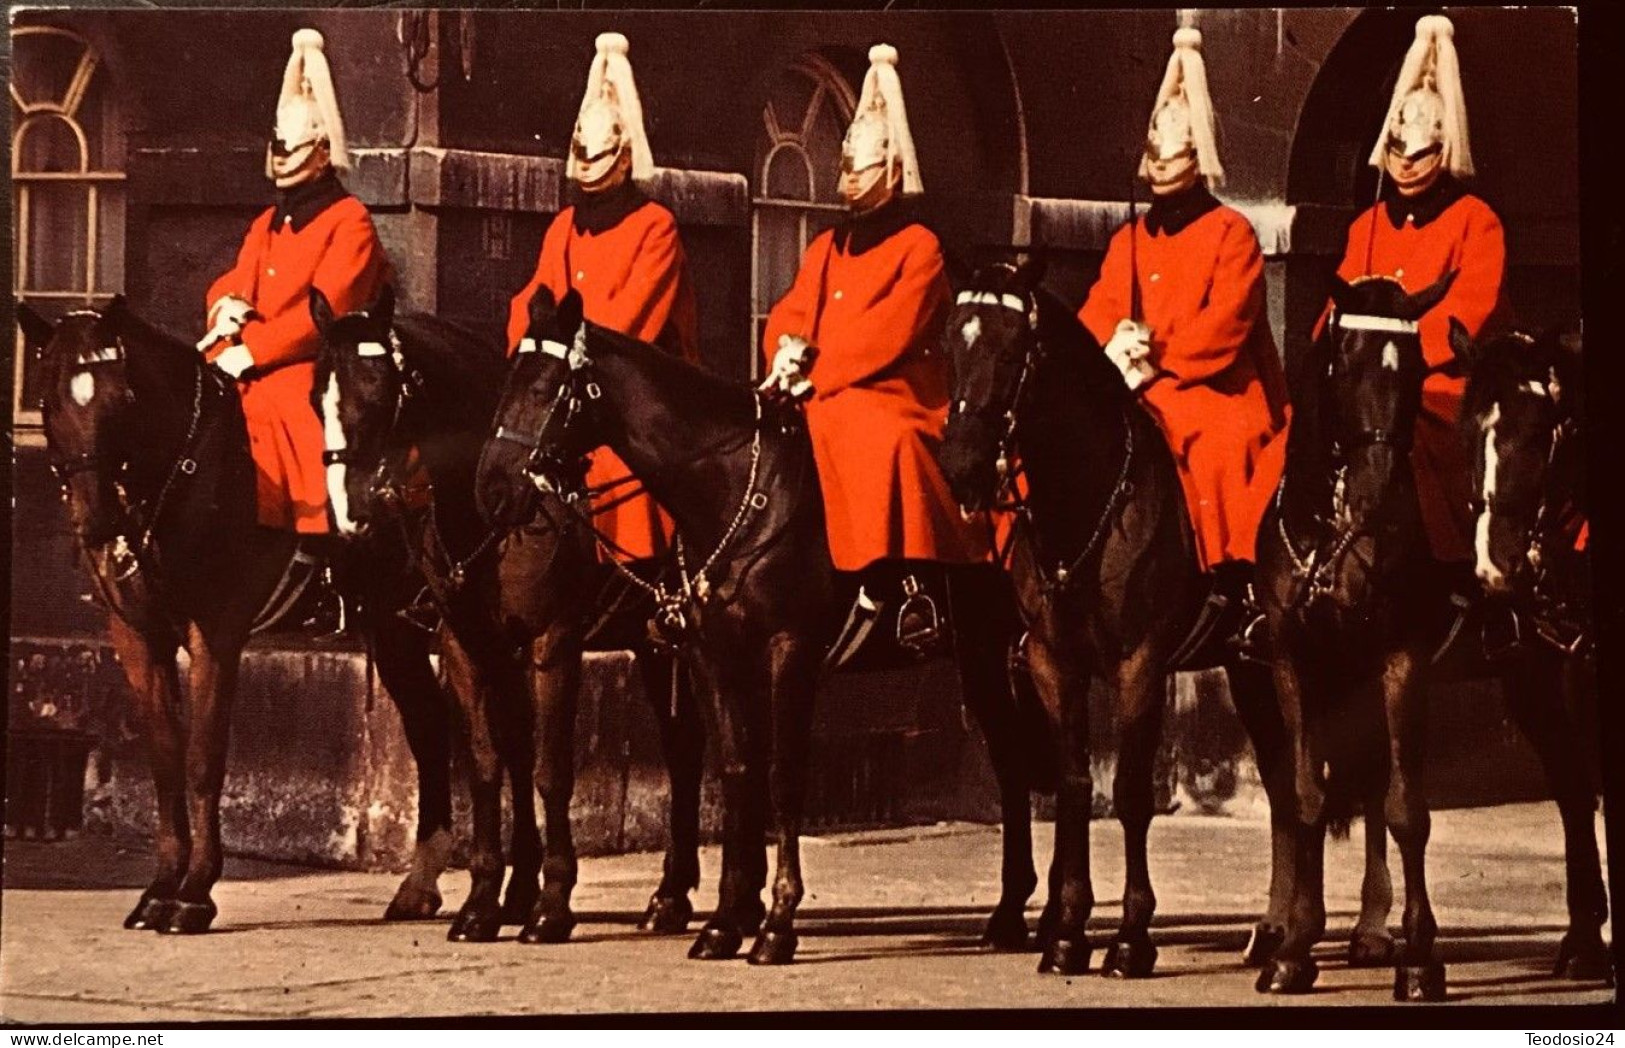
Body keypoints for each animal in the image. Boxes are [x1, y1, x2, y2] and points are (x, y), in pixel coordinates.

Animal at [17, 295, 451, 929]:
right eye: (47, 401)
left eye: (123, 399)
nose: (96, 523)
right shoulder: (137, 637)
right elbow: (166, 759)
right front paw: (159, 889)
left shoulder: (215, 634)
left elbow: (203, 759)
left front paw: (195, 893)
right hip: (396, 628)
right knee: (431, 724)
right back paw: (422, 886)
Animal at [310, 284, 705, 942]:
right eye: (318, 395)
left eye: (381, 389)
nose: (351, 509)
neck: (488, 518)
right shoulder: (469, 646)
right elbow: (492, 763)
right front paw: (488, 899)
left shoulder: (552, 643)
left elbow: (548, 768)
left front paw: (551, 902)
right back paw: (669, 897)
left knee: (687, 751)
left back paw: (671, 894)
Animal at [474, 285, 838, 961]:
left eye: (542, 388)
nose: (491, 489)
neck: (735, 489)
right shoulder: (712, 648)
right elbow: (737, 767)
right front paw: (726, 920)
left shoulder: (790, 645)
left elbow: (782, 774)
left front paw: (778, 922)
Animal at [936, 256, 1287, 974]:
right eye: (950, 342)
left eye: (1013, 349)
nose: (960, 465)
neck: (1086, 494)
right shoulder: (1051, 664)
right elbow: (1073, 785)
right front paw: (1068, 933)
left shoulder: (1139, 666)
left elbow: (1127, 791)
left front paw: (1130, 935)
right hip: (1247, 670)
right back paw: (1274, 934)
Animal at [1248, 271, 1469, 994]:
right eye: (1344, 364)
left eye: (1419, 369)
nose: (1376, 490)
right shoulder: (1294, 661)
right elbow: (1306, 794)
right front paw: (1295, 947)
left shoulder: (1400, 658)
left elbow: (1404, 808)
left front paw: (1421, 955)